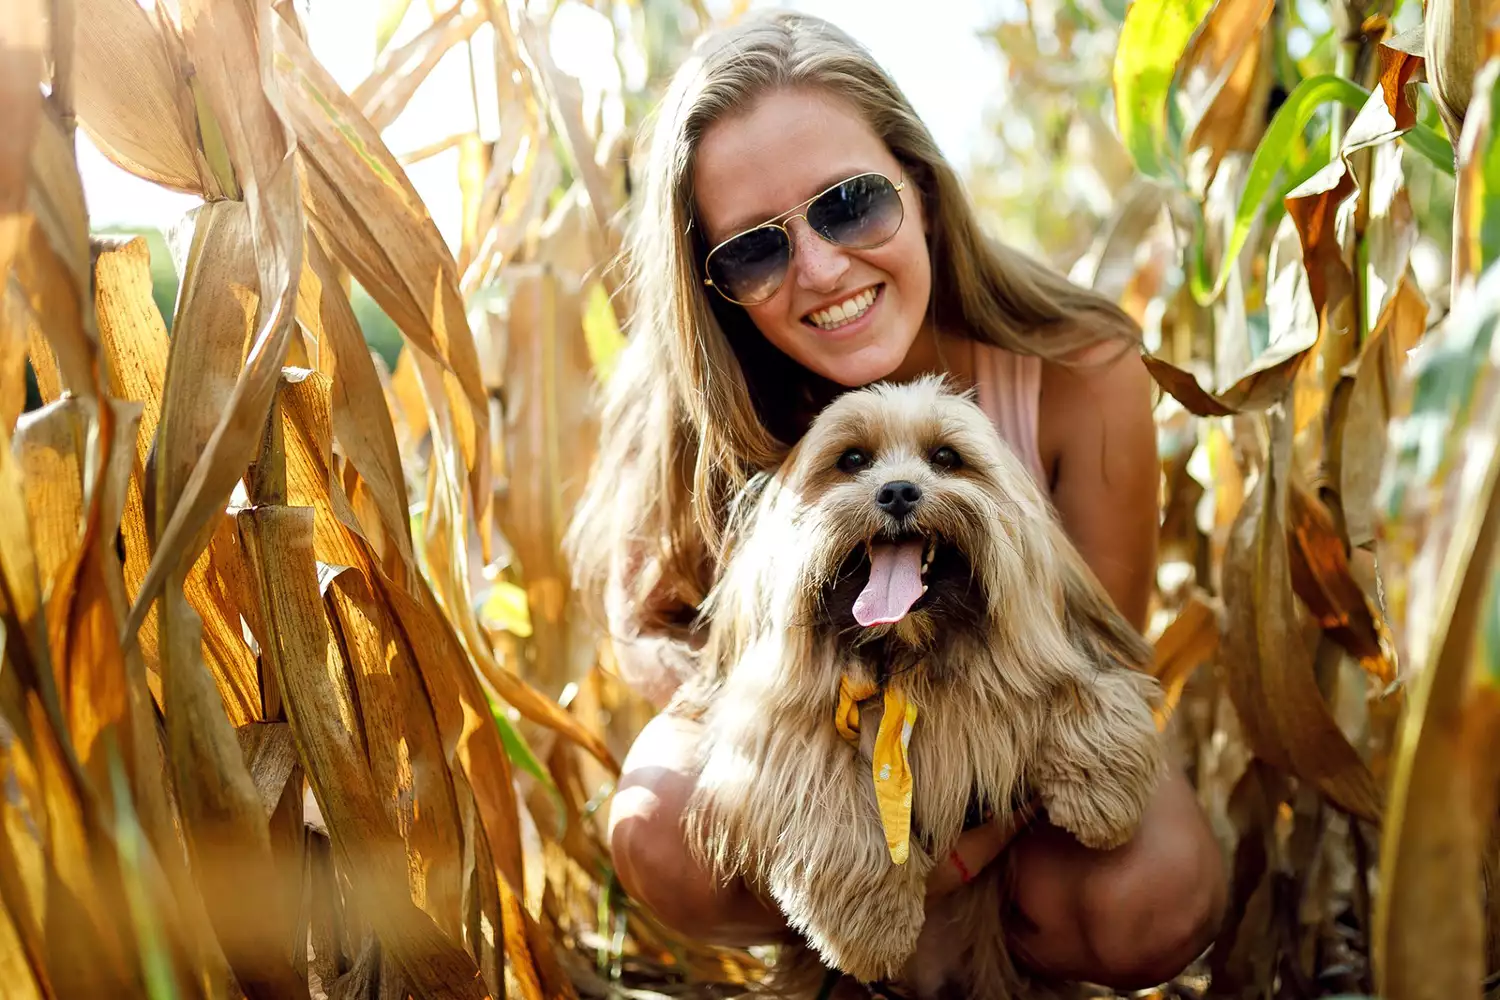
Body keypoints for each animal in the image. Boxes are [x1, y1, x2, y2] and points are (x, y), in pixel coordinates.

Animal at [675, 377, 1164, 1000]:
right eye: (852, 459)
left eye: (946, 458)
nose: (898, 492)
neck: (903, 655)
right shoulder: (768, 730)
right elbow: (823, 788)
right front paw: (876, 926)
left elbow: (1077, 683)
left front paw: (1101, 792)